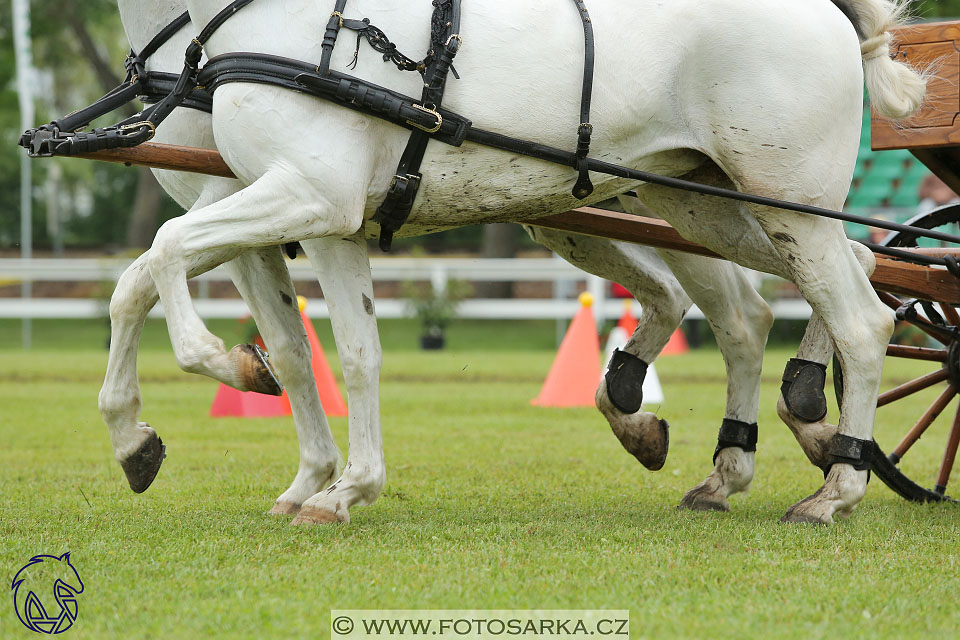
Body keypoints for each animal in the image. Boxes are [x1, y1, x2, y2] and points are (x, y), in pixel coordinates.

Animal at [129, 0, 924, 524]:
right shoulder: (279, 210)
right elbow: (284, 343)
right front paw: (149, 439)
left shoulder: (314, 200)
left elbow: (175, 259)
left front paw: (234, 377)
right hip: (705, 204)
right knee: (795, 295)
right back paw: (748, 449)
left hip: (786, 204)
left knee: (860, 319)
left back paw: (836, 485)